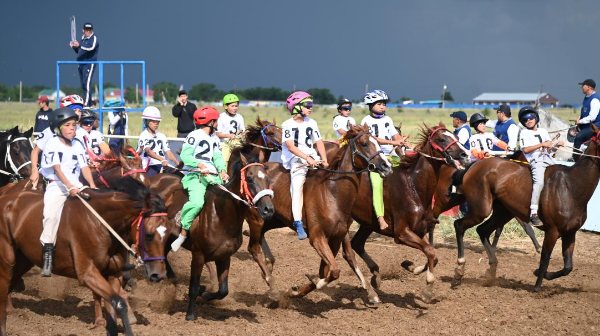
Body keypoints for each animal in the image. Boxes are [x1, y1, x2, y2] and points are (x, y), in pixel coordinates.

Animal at [0, 177, 171, 334]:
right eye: (148, 235)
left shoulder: (113, 273)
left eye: (169, 235)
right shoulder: (87, 274)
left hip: (23, 261)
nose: (159, 275)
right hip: (7, 261)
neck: (101, 223)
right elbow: (119, 303)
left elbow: (113, 309)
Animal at [245, 124, 394, 304]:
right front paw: (306, 285)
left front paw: (300, 289)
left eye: (378, 141)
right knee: (253, 247)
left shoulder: (336, 238)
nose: (387, 166)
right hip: (256, 218)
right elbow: (334, 271)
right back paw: (270, 281)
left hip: (274, 218)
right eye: (365, 143)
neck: (332, 193)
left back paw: (268, 265)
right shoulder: (317, 238)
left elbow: (328, 271)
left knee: (261, 236)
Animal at [452, 123, 596, 292]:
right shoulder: (552, 231)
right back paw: (459, 269)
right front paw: (537, 286)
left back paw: (491, 271)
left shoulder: (570, 232)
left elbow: (568, 267)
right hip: (481, 209)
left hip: (503, 212)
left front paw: (542, 274)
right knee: (459, 225)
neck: (571, 185)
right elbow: (544, 259)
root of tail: (474, 165)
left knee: (483, 230)